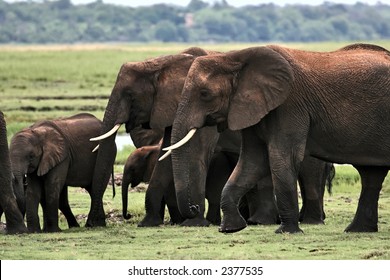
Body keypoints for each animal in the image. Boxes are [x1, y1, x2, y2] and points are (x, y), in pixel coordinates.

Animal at [166, 42, 390, 234]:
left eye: (204, 94)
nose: (194, 207)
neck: (234, 57)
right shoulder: (253, 108)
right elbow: (252, 161)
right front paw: (230, 229)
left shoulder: (289, 105)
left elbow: (282, 158)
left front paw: (287, 232)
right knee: (372, 174)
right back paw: (357, 230)